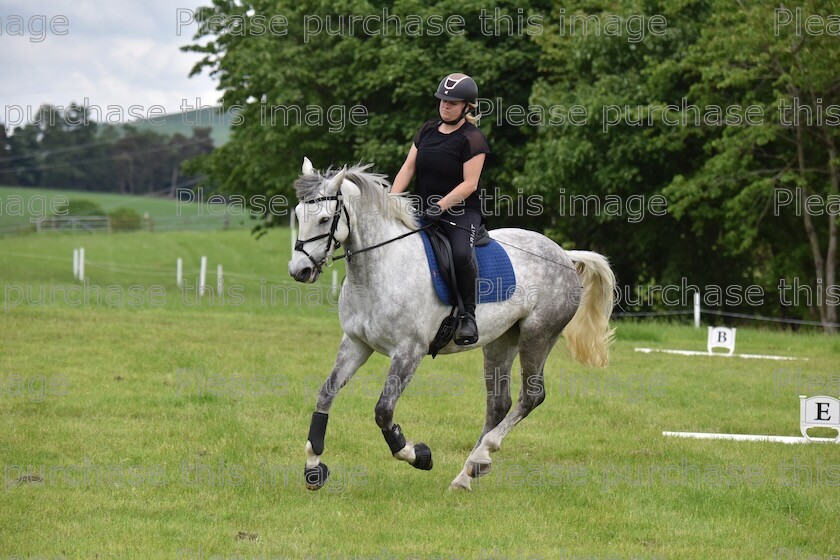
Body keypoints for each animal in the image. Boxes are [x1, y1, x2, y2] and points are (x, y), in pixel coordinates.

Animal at [290, 158, 616, 490]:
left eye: (325, 219)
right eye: (299, 215)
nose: (299, 270)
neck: (381, 267)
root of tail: (563, 254)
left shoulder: (409, 351)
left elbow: (383, 411)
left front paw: (418, 455)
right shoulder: (356, 343)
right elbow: (326, 393)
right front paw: (313, 466)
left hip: (537, 336)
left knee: (531, 396)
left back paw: (482, 454)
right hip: (501, 341)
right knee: (498, 403)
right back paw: (467, 473)